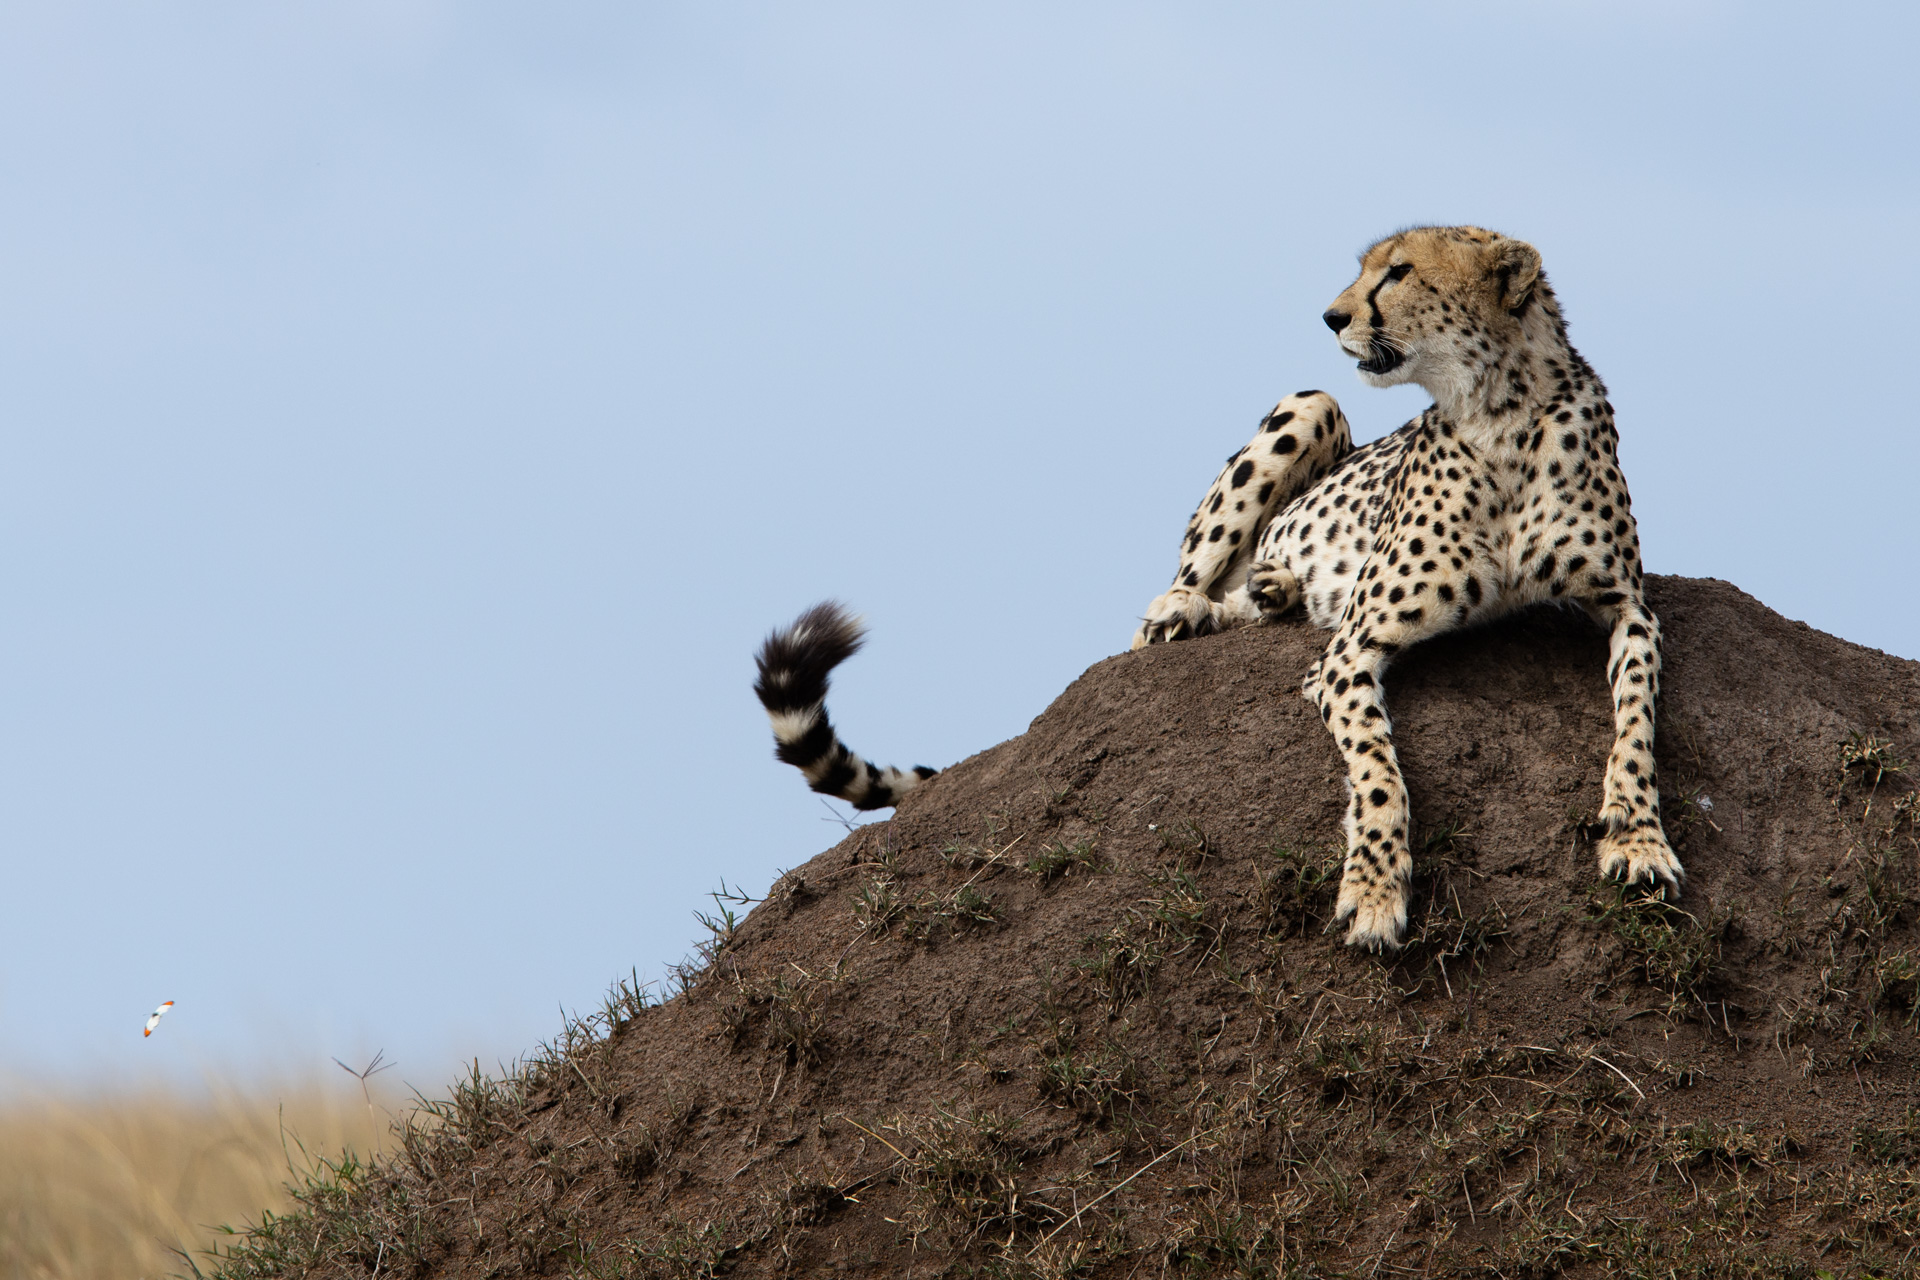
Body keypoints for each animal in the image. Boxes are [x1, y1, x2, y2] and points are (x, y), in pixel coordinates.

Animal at [1136, 225, 1681, 948]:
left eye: (1398, 273)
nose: (1331, 317)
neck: (1502, 414)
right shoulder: (1347, 651)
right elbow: (1378, 772)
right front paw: (1374, 891)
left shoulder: (1630, 609)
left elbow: (1637, 724)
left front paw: (1639, 838)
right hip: (1312, 405)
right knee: (1169, 605)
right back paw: (1185, 610)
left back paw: (1273, 587)